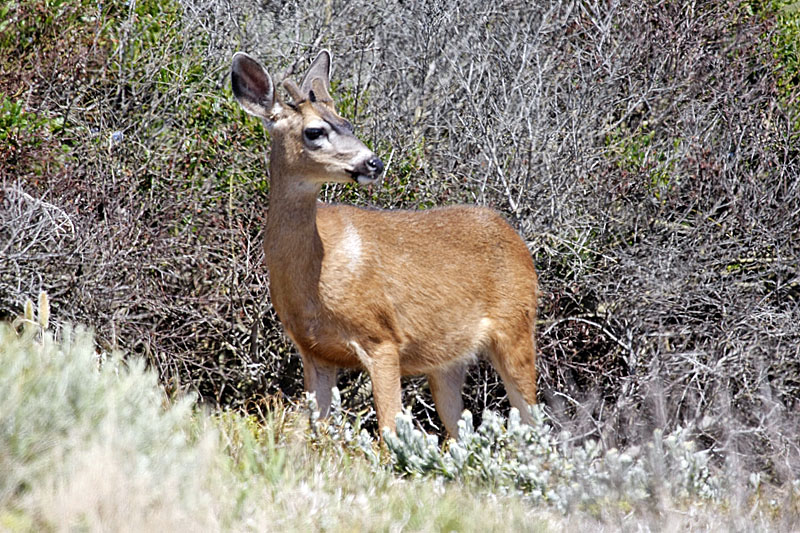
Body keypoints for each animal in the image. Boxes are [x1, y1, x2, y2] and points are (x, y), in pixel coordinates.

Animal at [231, 48, 540, 436]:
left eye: (347, 122)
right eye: (314, 131)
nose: (374, 163)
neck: (317, 270)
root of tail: (516, 239)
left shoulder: (382, 338)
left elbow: (389, 430)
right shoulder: (314, 351)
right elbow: (308, 431)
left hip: (516, 328)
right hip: (447, 361)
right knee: (460, 430)